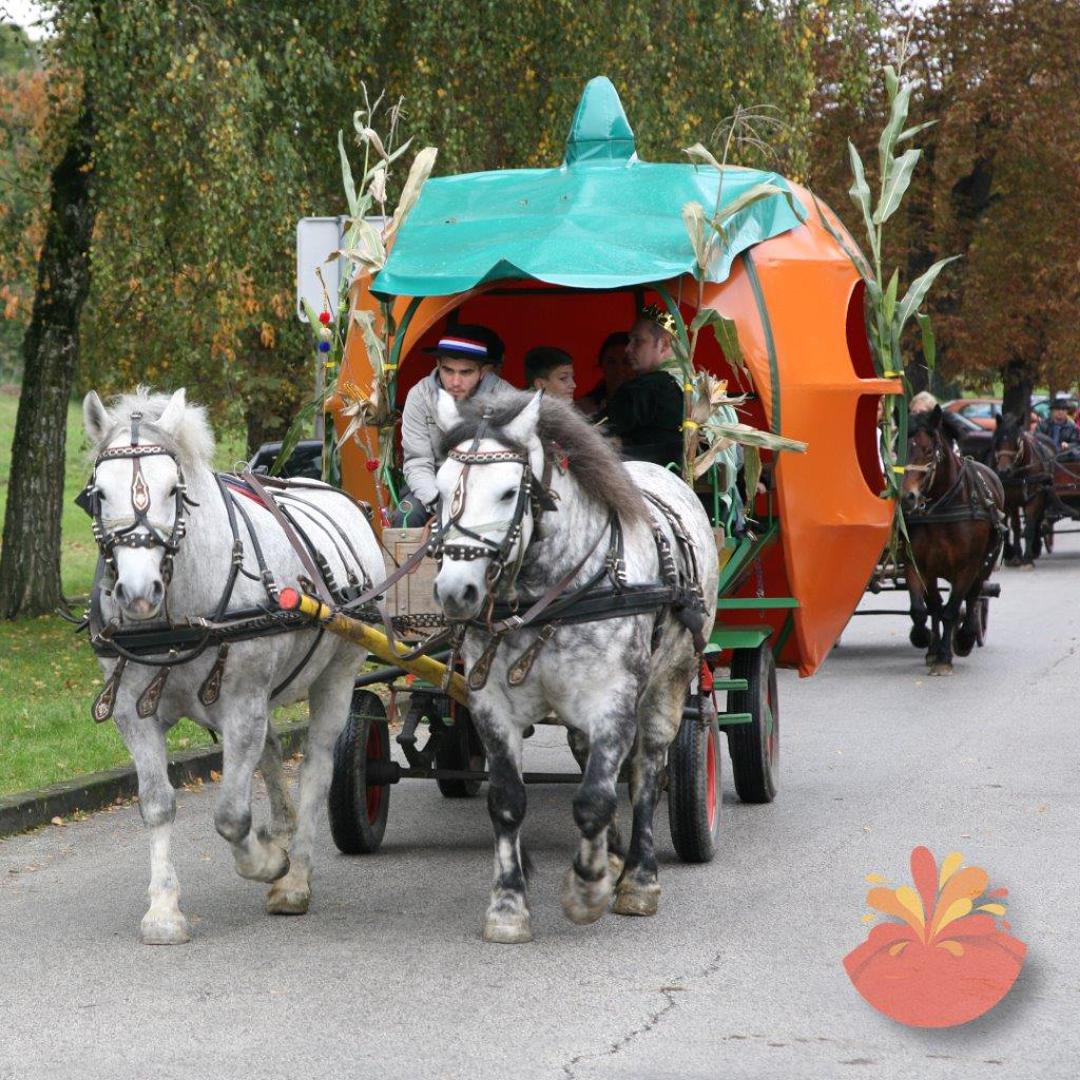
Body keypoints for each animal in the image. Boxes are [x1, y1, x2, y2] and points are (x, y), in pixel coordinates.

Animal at [81, 388, 383, 943]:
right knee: (272, 751)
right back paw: (281, 827)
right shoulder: (133, 713)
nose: (137, 594)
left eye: (173, 490)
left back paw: (295, 876)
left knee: (317, 767)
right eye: (99, 494)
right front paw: (163, 910)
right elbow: (158, 804)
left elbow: (230, 816)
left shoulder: (243, 705)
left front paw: (269, 864)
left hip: (339, 673)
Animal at [429, 390, 718, 943]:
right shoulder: (491, 704)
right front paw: (508, 906)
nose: (456, 591)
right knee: (591, 758)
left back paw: (638, 878)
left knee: (646, 770)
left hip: (668, 682)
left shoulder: (613, 699)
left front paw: (587, 890)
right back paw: (612, 854)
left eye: (507, 493)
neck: (550, 597)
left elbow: (595, 799)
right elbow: (507, 799)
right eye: (438, 493)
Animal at [901, 405, 1005, 676]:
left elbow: (952, 610)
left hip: (984, 564)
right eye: (900, 448)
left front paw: (946, 657)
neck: (943, 507)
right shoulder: (917, 564)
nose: (907, 497)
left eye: (928, 451)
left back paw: (965, 637)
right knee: (937, 605)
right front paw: (923, 639)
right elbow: (923, 609)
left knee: (973, 597)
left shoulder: (967, 566)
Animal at [991, 412, 1054, 568]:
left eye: (1017, 440)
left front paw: (1027, 559)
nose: (1003, 471)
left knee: (1038, 521)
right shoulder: (1011, 501)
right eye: (997, 440)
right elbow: (1015, 527)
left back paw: (1034, 548)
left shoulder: (1035, 499)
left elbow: (1030, 526)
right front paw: (1016, 556)